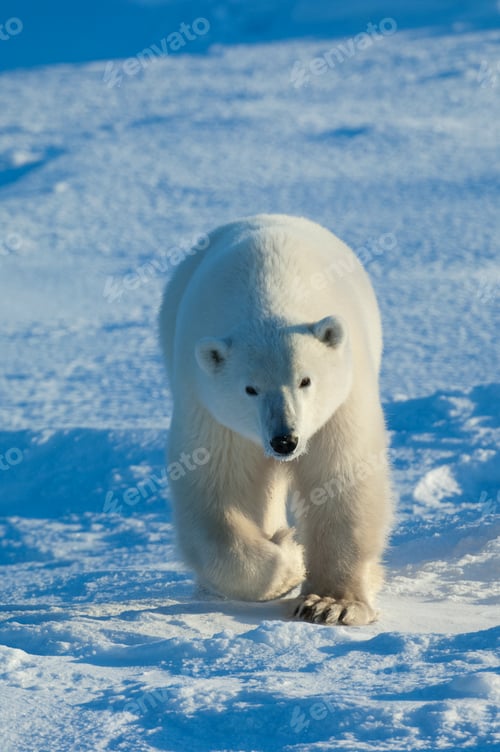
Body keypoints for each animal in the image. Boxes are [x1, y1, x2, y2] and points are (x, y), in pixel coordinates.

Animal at [159, 214, 392, 626]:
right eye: (250, 388)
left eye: (305, 380)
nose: (285, 440)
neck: (268, 296)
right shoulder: (211, 409)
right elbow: (216, 491)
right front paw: (290, 555)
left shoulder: (341, 402)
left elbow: (341, 477)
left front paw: (330, 604)